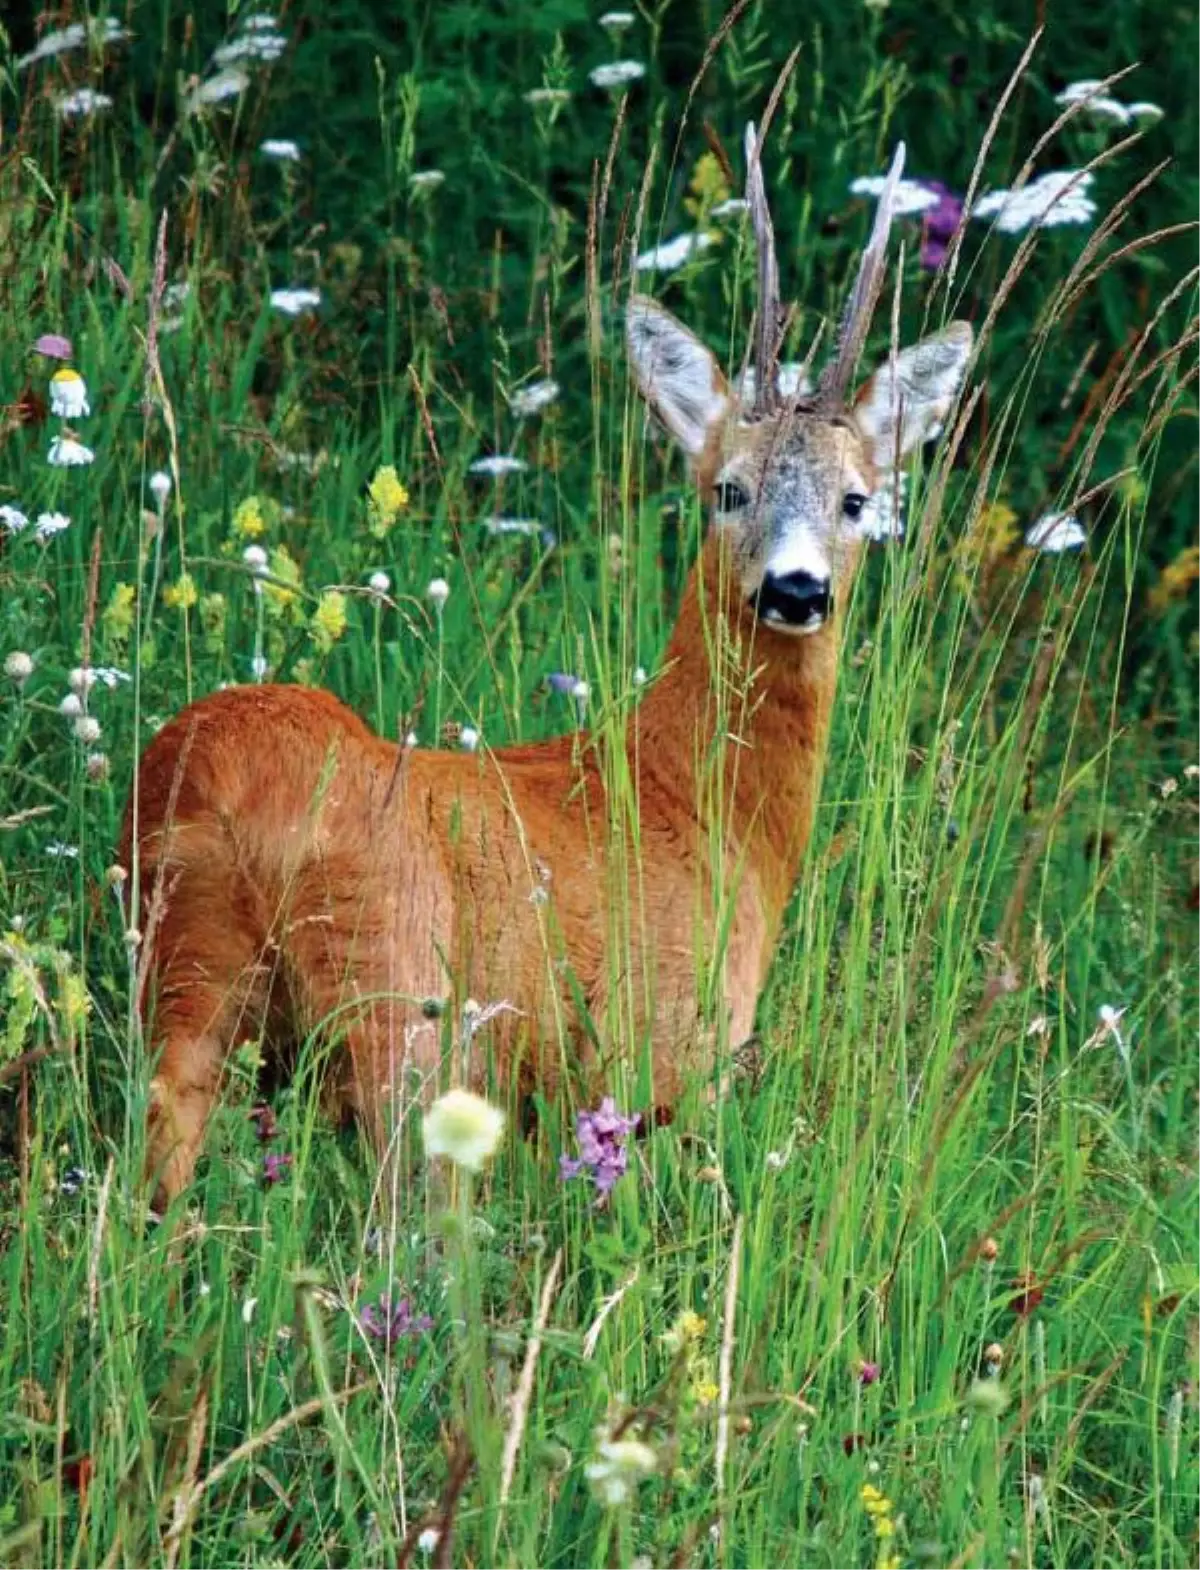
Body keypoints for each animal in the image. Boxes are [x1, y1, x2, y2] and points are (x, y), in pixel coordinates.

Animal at [117, 128, 967, 1199]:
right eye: (728, 488)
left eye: (857, 500)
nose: (796, 589)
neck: (702, 804)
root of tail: (216, 787)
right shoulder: (665, 1057)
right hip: (403, 1000)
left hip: (184, 984)